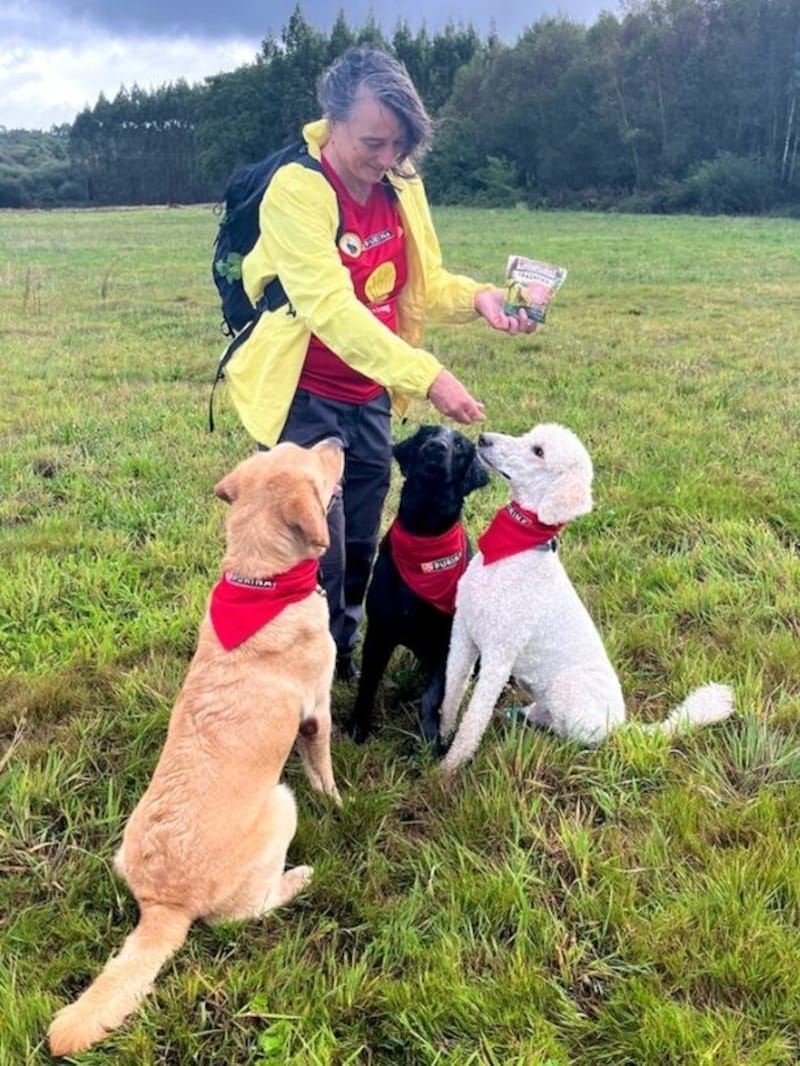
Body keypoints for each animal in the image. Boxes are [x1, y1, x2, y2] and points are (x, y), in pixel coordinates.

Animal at [50, 439, 345, 1057]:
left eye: (295, 445)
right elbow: (324, 772)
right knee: (250, 912)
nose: (338, 442)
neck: (260, 580)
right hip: (281, 804)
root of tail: (166, 904)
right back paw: (298, 879)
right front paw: (338, 804)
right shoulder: (318, 715)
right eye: (313, 462)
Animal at [349, 422, 492, 741]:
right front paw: (358, 727)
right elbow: (368, 684)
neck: (425, 533)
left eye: (460, 445)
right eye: (428, 434)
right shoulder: (380, 631)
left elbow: (432, 696)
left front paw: (430, 737)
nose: (437, 447)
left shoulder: (448, 642)